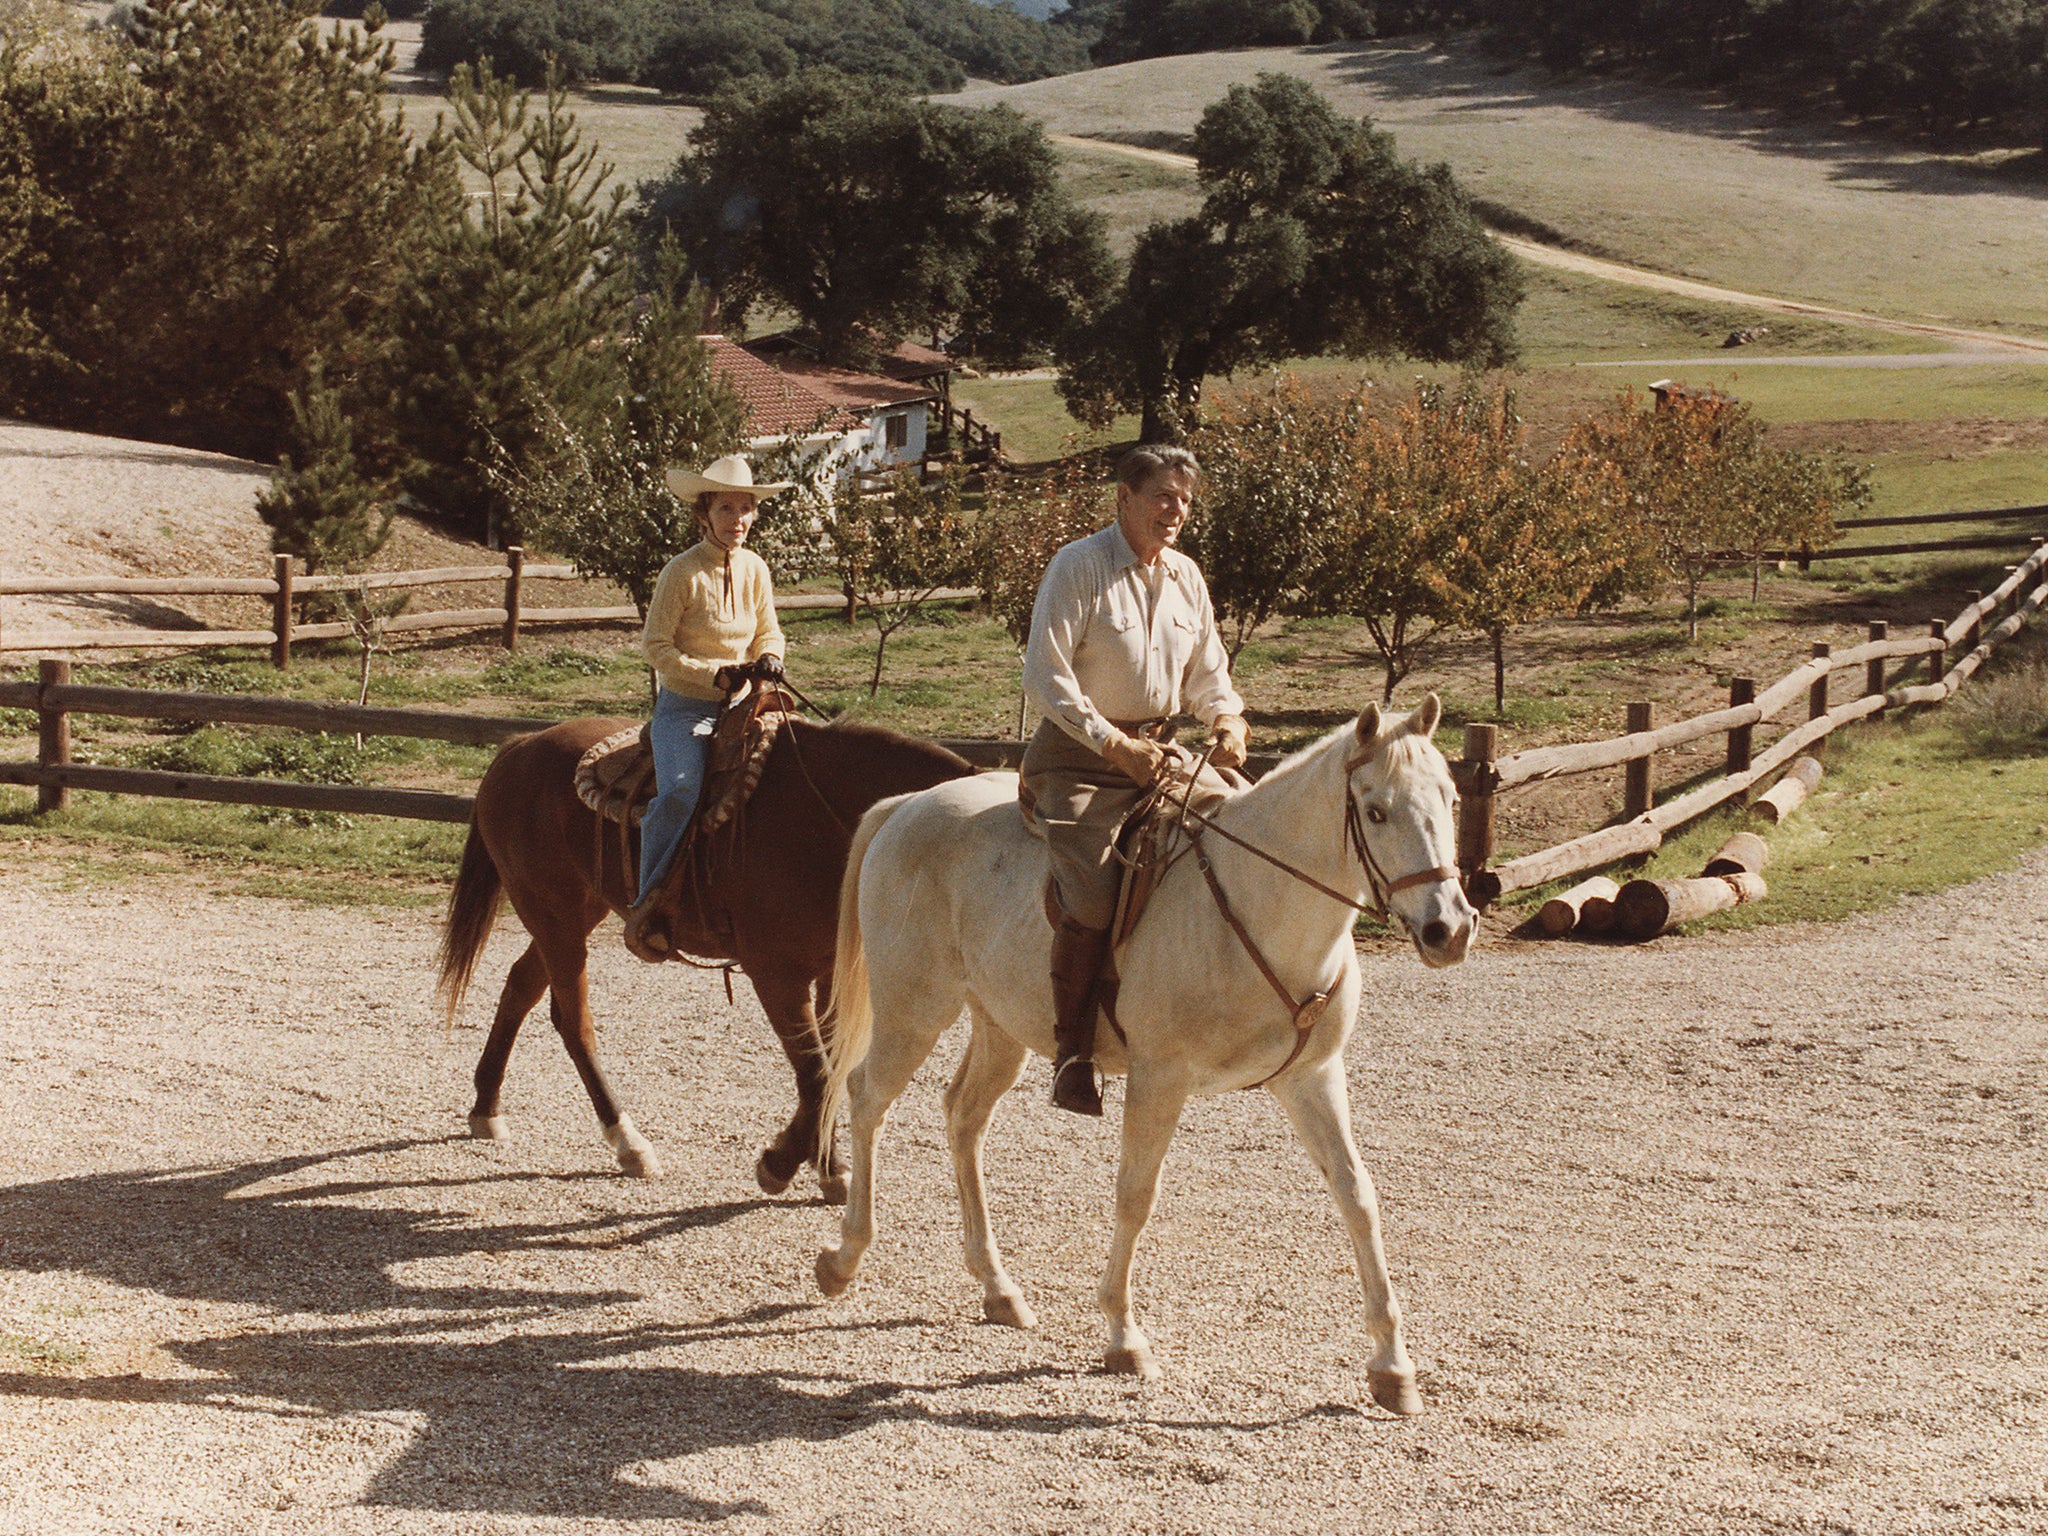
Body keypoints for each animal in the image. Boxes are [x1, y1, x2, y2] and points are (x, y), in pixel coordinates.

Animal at [434, 716, 974, 1212]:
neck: (825, 813)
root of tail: (521, 745)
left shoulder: (828, 972)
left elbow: (829, 1070)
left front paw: (818, 1165)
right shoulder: (776, 975)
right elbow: (817, 1074)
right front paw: (785, 1166)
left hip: (571, 917)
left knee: (520, 987)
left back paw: (486, 1108)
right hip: (555, 919)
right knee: (575, 1025)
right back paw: (628, 1142)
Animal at [806, 696, 1466, 1417]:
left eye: (1452, 799)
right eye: (1375, 810)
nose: (1449, 929)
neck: (1255, 905)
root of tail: (907, 806)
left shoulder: (1313, 1079)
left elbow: (1357, 1196)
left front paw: (1392, 1367)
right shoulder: (1160, 1080)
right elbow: (1135, 1196)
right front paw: (1123, 1336)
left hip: (999, 1026)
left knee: (963, 1117)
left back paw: (997, 1287)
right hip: (914, 1011)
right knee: (867, 1098)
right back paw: (844, 1257)